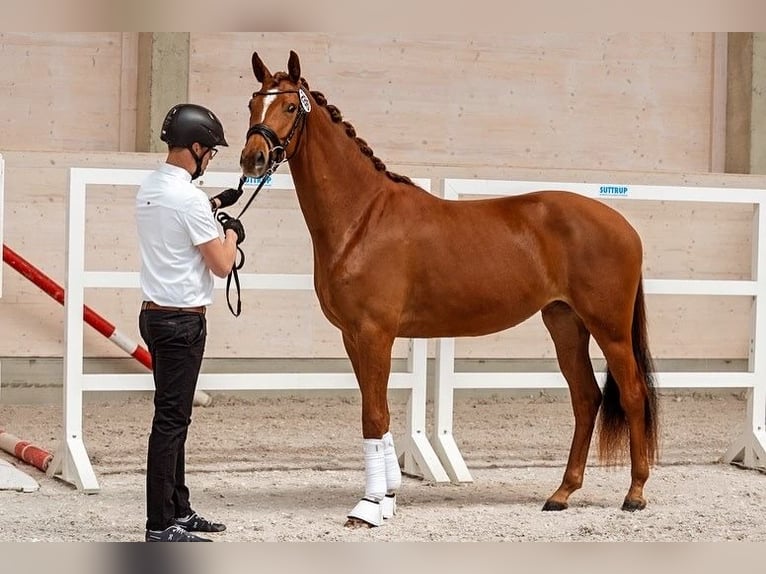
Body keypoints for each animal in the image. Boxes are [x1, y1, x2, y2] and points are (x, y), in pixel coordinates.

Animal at [239, 50, 659, 528]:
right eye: (252, 103)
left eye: (291, 106)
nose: (252, 159)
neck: (362, 217)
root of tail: (623, 224)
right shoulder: (353, 337)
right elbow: (378, 414)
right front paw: (387, 498)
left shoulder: (374, 334)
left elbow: (373, 416)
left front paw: (368, 507)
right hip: (565, 323)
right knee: (586, 399)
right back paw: (562, 493)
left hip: (610, 329)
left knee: (633, 393)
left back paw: (635, 492)